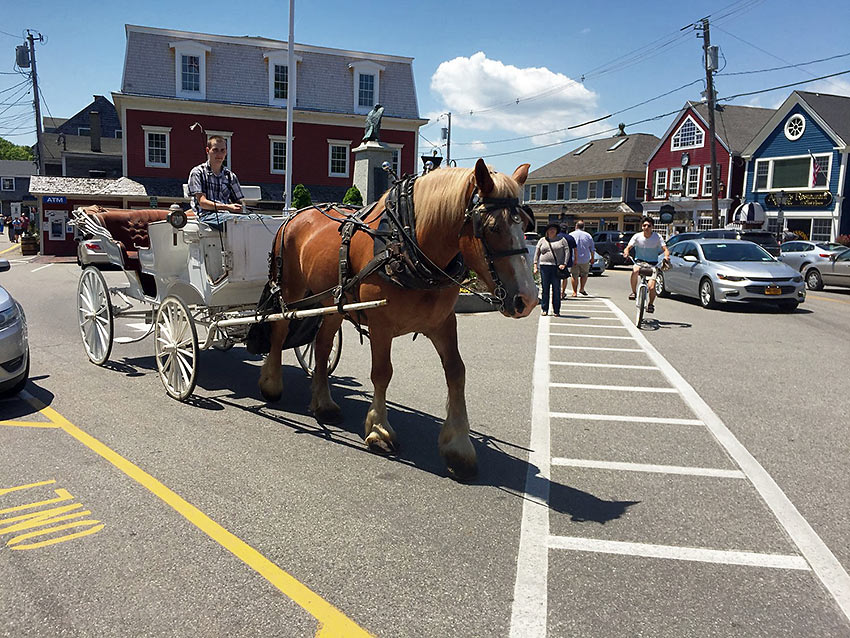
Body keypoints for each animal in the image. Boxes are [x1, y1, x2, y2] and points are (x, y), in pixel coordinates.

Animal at [260, 159, 536, 480]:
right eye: (492, 227)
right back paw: (271, 383)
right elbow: (382, 373)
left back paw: (324, 403)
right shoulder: (381, 324)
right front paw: (379, 429)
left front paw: (458, 445)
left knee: (323, 343)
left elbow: (456, 372)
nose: (528, 299)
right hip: (290, 291)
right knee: (279, 330)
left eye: (524, 224)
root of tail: (294, 216)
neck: (408, 243)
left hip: (331, 301)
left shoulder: (443, 322)